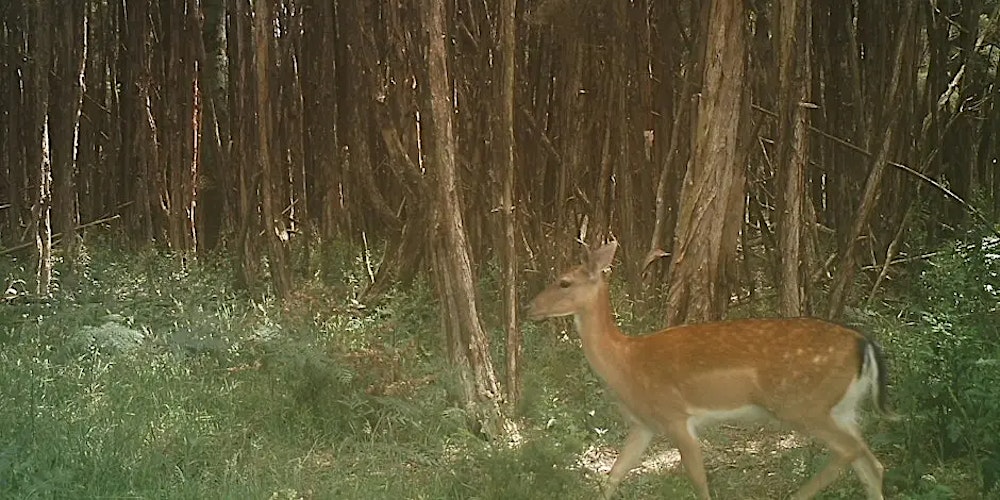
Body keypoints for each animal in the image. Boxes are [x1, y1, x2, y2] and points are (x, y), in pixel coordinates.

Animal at [526, 241, 892, 500]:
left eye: (563, 282)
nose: (530, 306)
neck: (626, 363)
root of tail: (863, 343)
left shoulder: (675, 416)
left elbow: (700, 484)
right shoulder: (644, 424)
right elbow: (611, 478)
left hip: (803, 404)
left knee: (851, 452)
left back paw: (797, 495)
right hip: (841, 408)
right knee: (872, 464)